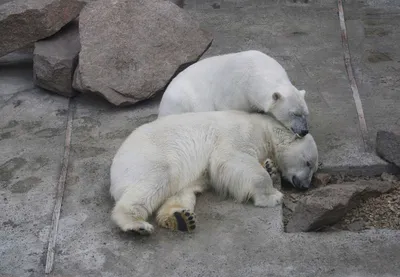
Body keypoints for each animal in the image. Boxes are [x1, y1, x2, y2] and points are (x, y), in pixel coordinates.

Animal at [109, 109, 318, 233]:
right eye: (308, 163)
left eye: (313, 169)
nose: (305, 186)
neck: (266, 129)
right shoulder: (241, 133)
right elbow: (230, 158)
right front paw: (273, 196)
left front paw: (270, 166)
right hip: (149, 157)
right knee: (157, 180)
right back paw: (135, 223)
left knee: (181, 192)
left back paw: (180, 218)